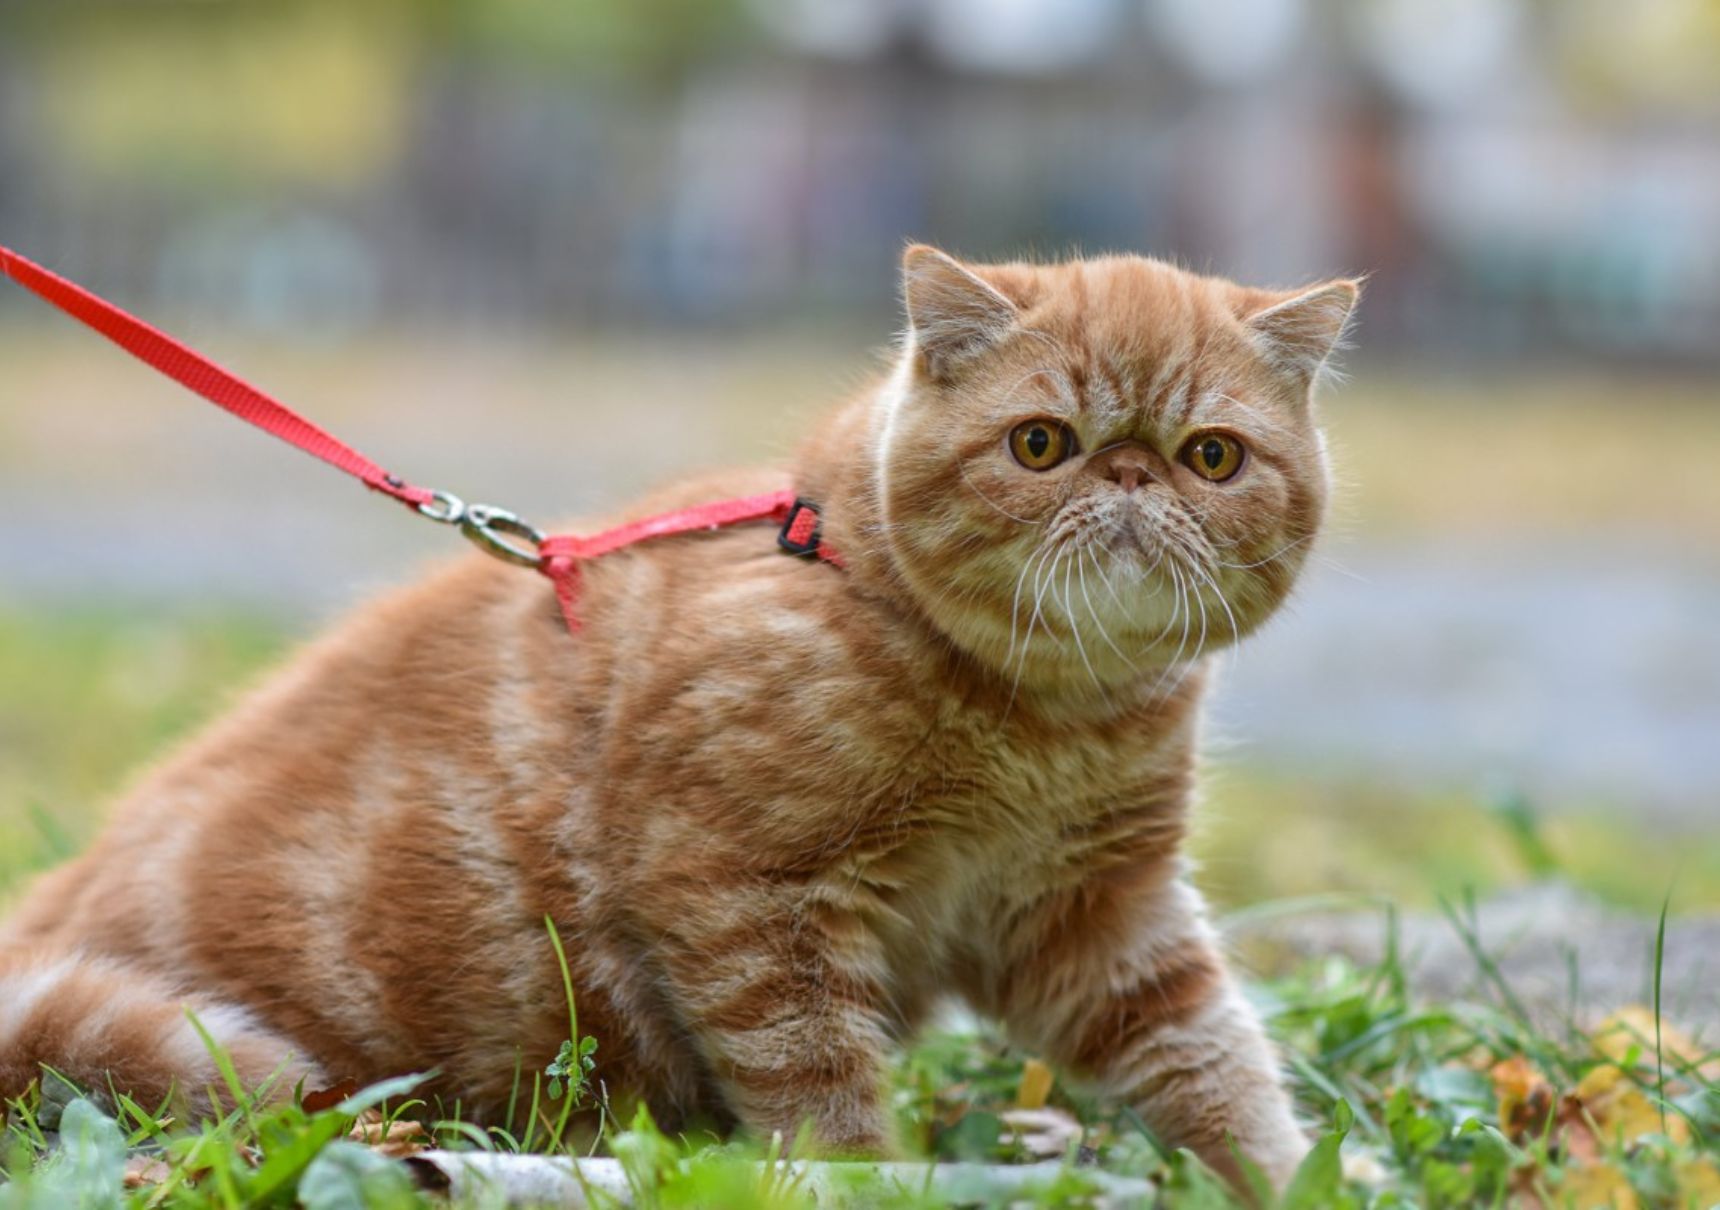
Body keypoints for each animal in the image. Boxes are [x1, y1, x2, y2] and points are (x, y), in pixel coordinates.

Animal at [0, 246, 1355, 1191]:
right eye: (1039, 443)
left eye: (1212, 457)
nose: (1127, 474)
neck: (1048, 719)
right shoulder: (746, 896)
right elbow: (819, 1085)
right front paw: (867, 1183)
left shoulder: (1100, 919)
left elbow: (1212, 1054)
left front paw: (1294, 1179)